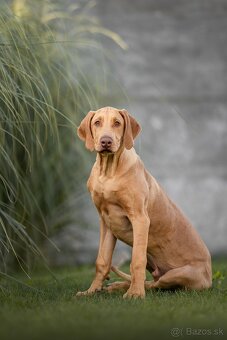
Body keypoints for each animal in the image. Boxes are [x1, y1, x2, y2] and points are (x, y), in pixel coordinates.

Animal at [76, 105, 213, 298]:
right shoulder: (106, 222)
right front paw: (91, 291)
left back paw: (127, 287)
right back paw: (117, 286)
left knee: (156, 285)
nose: (106, 141)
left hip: (180, 274)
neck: (109, 172)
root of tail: (210, 276)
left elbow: (136, 261)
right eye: (97, 122)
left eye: (117, 123)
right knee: (152, 282)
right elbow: (102, 261)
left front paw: (135, 294)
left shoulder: (140, 219)